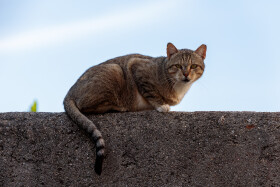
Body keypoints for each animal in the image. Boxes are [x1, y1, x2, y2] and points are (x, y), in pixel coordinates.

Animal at [63, 43, 206, 175]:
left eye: (194, 66)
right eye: (178, 66)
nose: (186, 74)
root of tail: (70, 92)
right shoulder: (137, 67)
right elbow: (151, 92)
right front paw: (161, 105)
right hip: (115, 70)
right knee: (85, 105)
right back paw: (118, 107)